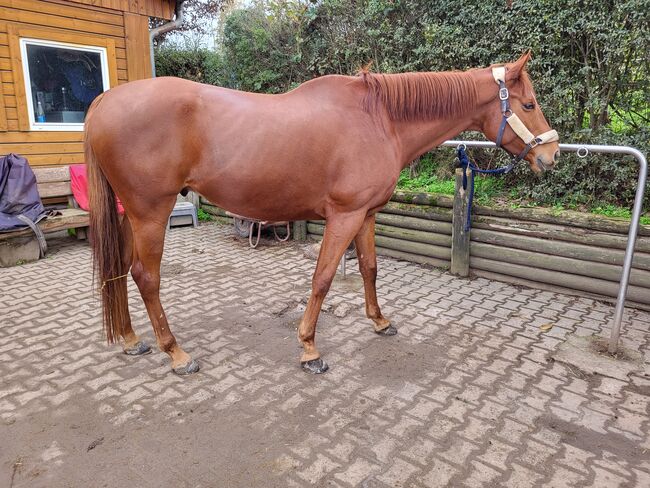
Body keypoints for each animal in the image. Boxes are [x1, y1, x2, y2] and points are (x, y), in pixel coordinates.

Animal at [85, 52, 556, 374]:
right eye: (529, 104)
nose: (550, 155)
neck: (379, 119)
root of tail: (103, 103)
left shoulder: (366, 214)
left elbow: (368, 268)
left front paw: (380, 321)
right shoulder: (344, 216)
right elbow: (324, 277)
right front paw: (309, 347)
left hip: (130, 213)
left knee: (118, 268)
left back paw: (130, 339)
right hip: (151, 213)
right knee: (145, 277)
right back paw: (176, 353)